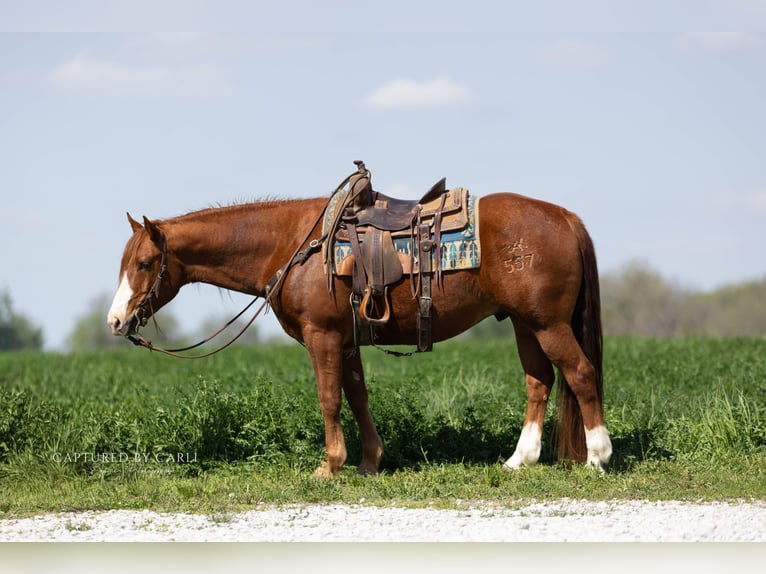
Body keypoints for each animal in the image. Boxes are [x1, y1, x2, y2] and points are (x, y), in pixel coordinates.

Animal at [106, 173, 613, 478]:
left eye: (146, 263)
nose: (115, 320)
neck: (295, 244)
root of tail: (566, 218)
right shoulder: (347, 341)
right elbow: (357, 396)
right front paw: (370, 461)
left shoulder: (322, 336)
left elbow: (330, 398)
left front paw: (329, 466)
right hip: (526, 325)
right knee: (540, 381)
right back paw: (518, 460)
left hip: (548, 324)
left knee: (580, 374)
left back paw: (596, 458)